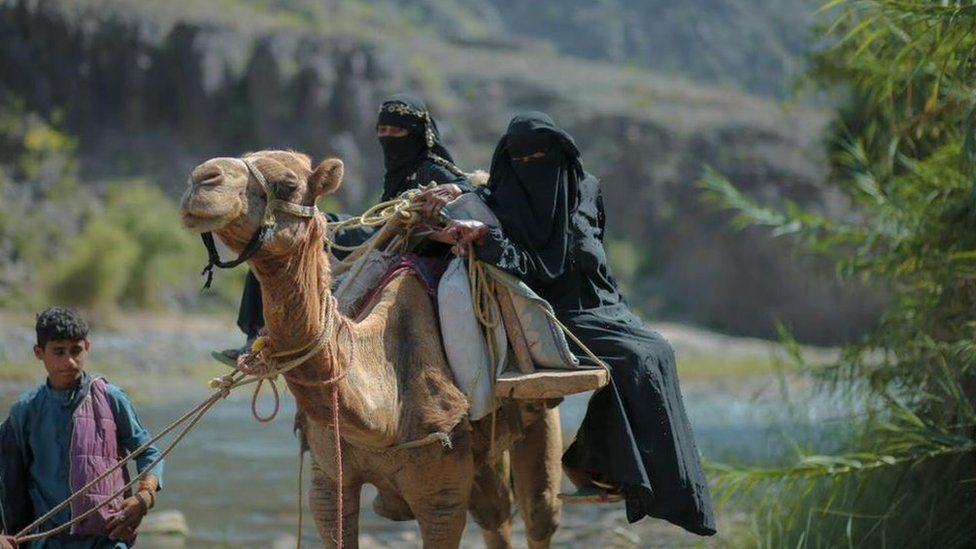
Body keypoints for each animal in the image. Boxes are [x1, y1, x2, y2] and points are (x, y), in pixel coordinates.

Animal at [181, 148, 564, 544]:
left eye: (287, 184)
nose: (202, 178)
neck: (384, 417)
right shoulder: (328, 479)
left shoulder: (442, 496)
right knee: (495, 512)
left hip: (534, 404)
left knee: (538, 511)